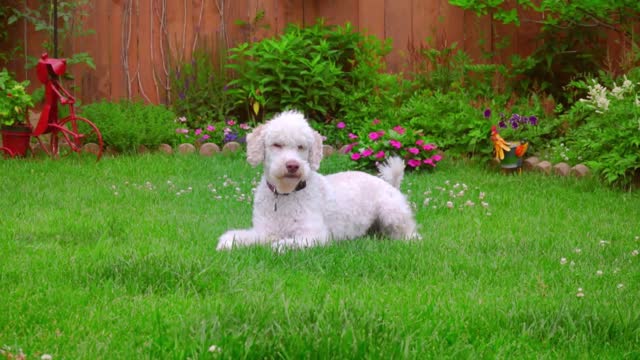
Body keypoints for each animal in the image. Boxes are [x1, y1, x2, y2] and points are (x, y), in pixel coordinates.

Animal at [218, 109, 422, 250]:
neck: (285, 195)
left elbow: (285, 243)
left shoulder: (314, 234)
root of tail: (390, 184)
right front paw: (228, 242)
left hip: (391, 212)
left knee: (411, 233)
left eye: (301, 147)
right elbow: (241, 237)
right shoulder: (265, 231)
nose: (293, 165)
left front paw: (278, 246)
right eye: (276, 144)